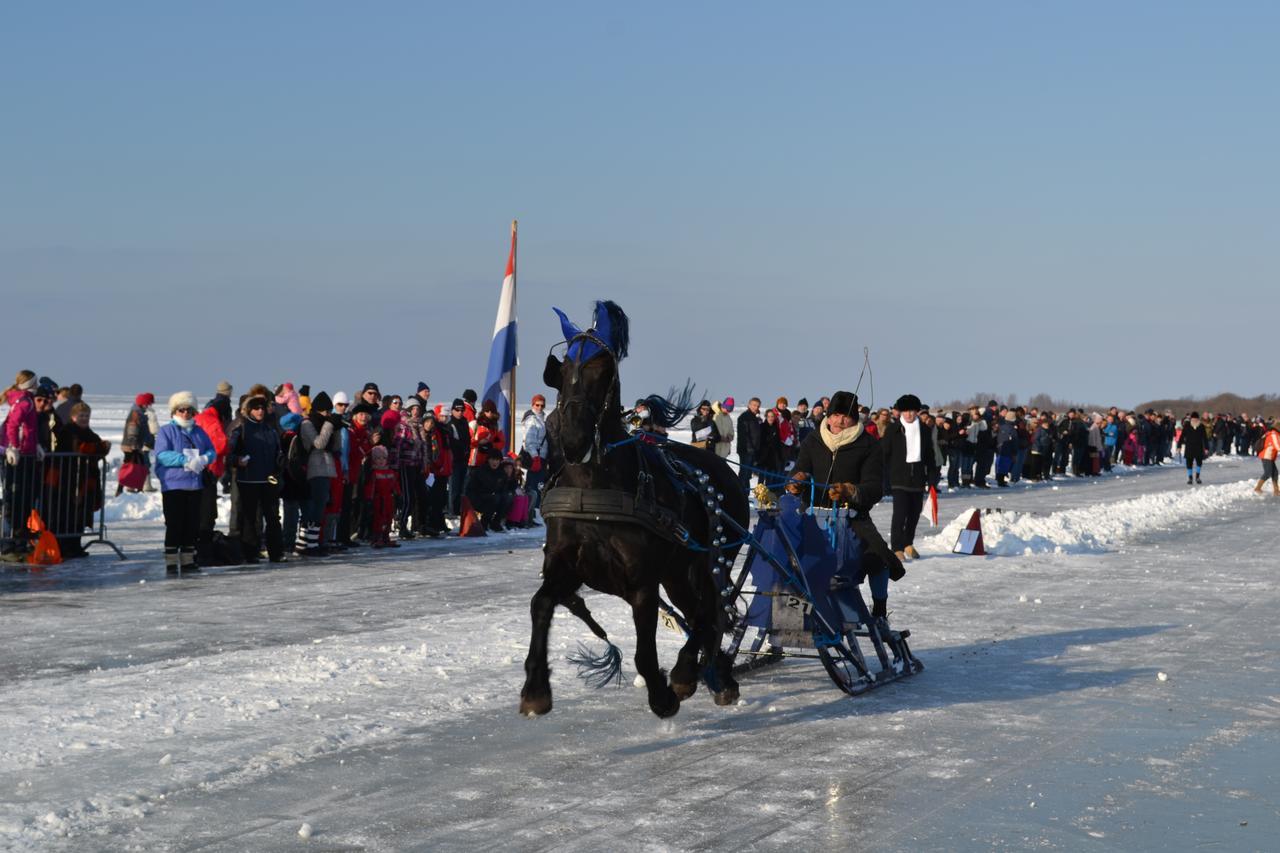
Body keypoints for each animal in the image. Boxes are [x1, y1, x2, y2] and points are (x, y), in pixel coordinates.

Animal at [519, 302, 747, 712]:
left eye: (603, 369)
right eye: (563, 370)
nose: (572, 439)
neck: (594, 495)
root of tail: (723, 467)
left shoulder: (642, 581)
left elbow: (645, 651)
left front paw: (663, 694)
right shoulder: (567, 567)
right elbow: (540, 603)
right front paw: (536, 689)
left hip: (710, 560)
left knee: (711, 612)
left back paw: (688, 673)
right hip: (677, 574)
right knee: (702, 613)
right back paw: (718, 674)